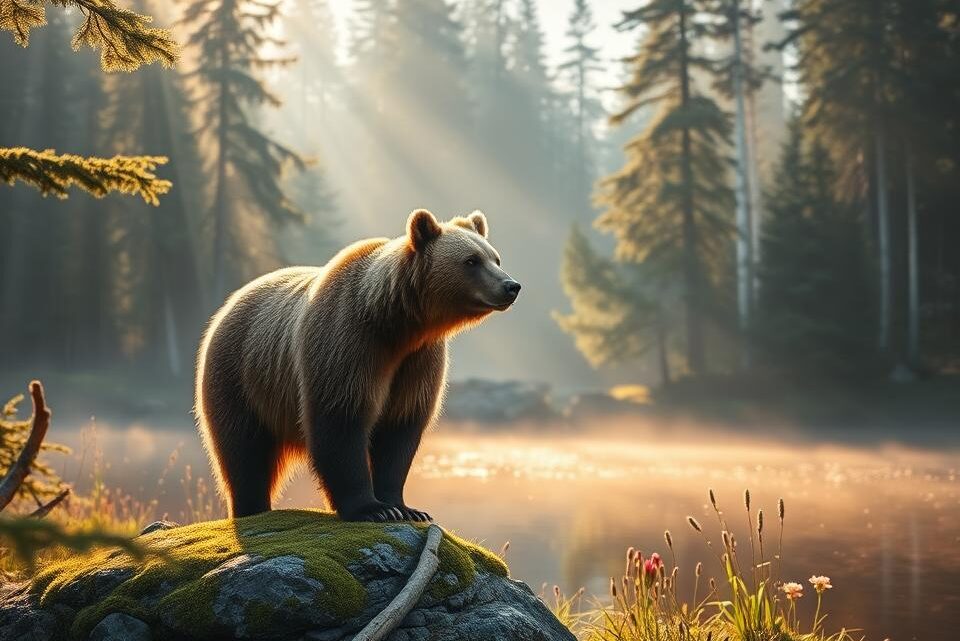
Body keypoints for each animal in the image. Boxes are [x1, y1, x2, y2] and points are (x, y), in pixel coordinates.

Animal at [195, 209, 520, 522]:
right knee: (244, 450)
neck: (396, 324)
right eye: (471, 260)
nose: (511, 286)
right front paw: (372, 509)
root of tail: (229, 303)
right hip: (241, 375)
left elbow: (399, 430)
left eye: (495, 257)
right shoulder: (348, 344)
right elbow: (340, 421)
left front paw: (403, 507)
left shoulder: (418, 361)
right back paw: (251, 506)